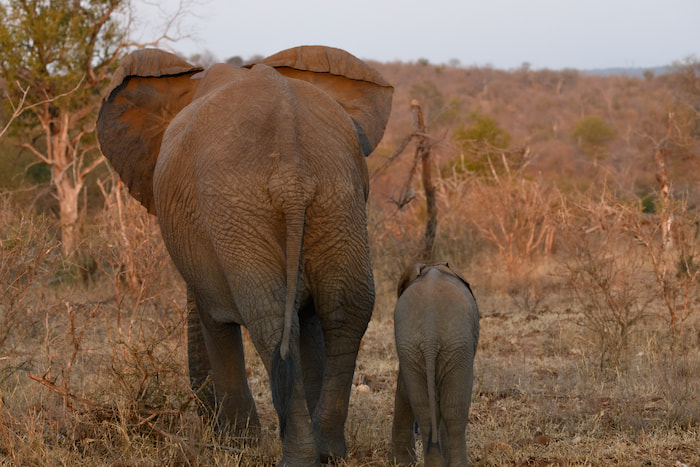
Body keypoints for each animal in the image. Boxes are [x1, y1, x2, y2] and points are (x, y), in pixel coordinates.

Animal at [96, 45, 393, 466]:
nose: (209, 426)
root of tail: (291, 166)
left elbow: (215, 316)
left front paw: (238, 444)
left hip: (238, 209)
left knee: (267, 318)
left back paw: (297, 455)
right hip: (338, 196)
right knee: (345, 310)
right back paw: (328, 450)